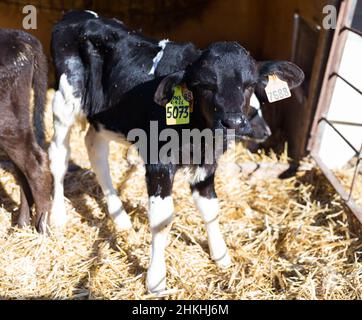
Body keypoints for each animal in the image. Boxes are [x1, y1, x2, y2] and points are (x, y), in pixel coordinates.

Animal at [49, 11, 304, 294]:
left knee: (95, 149)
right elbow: (162, 220)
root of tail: (76, 15)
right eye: (205, 85)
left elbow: (211, 209)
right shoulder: (158, 162)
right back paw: (58, 216)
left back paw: (120, 220)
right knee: (59, 156)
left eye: (249, 85)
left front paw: (221, 256)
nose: (234, 122)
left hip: (104, 116)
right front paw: (156, 279)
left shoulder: (207, 163)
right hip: (65, 99)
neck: (199, 135)